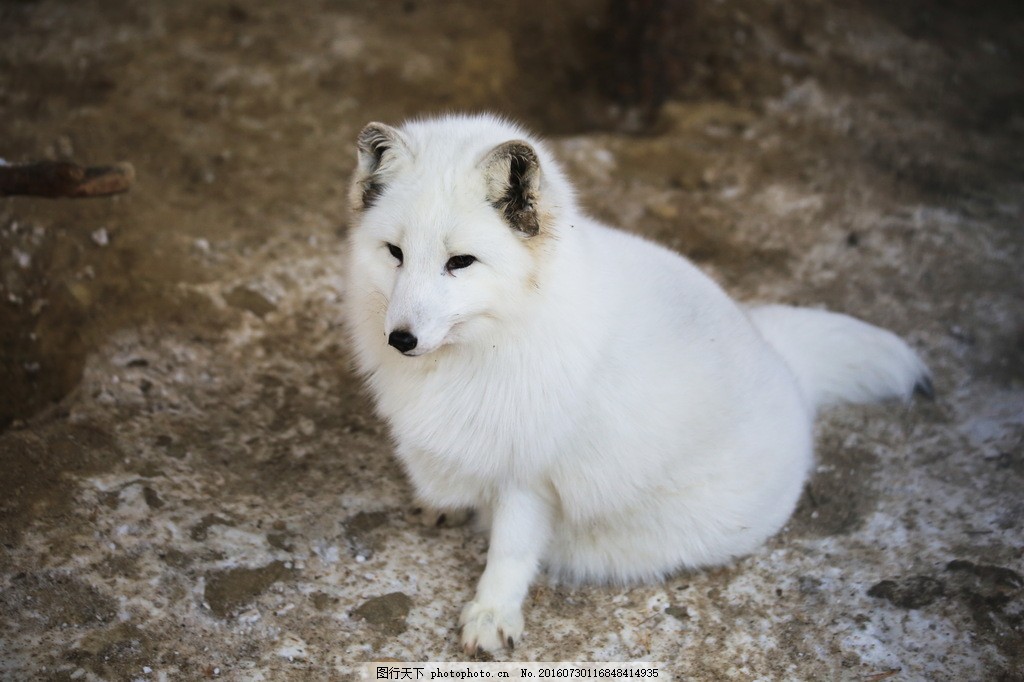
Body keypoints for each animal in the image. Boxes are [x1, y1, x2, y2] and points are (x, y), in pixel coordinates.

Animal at [342, 112, 929, 655]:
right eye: (395, 253)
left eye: (460, 262)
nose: (401, 339)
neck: (497, 339)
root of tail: (784, 362)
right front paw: (442, 501)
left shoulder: (531, 474)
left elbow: (509, 550)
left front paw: (491, 614)